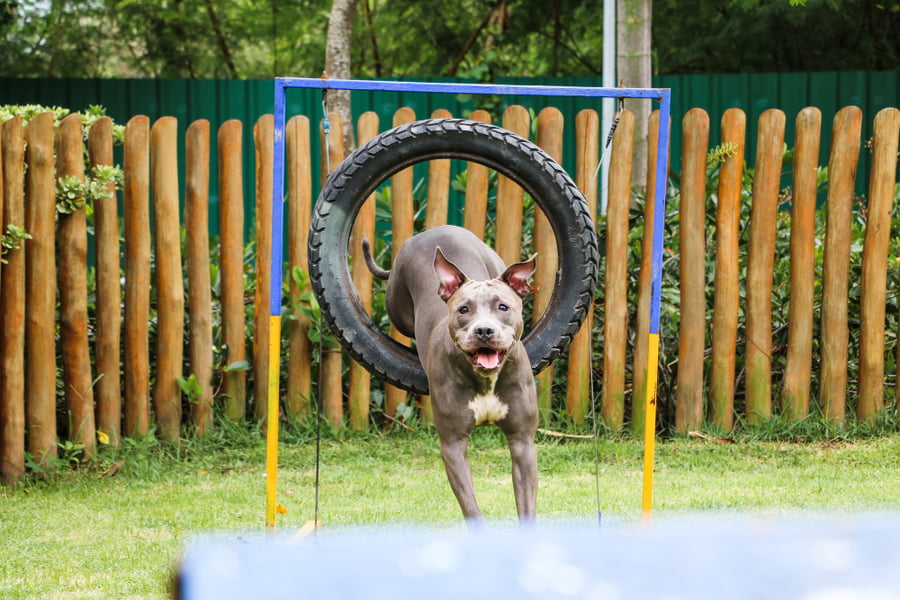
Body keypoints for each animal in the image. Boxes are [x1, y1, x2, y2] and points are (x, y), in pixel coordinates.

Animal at [362, 225, 536, 524]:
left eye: (503, 307)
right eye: (463, 309)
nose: (484, 330)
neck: (485, 379)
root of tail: (435, 230)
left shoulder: (522, 441)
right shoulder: (453, 445)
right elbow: (472, 508)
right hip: (396, 305)